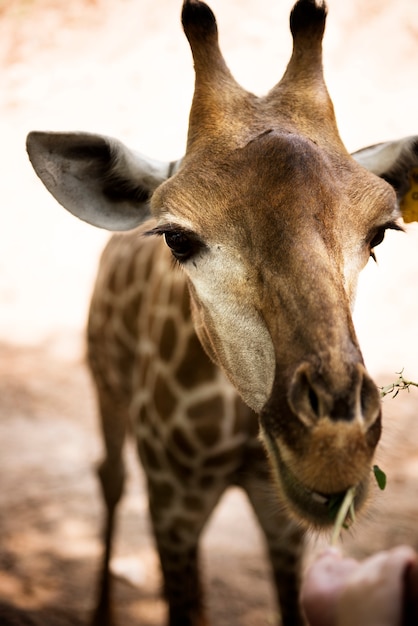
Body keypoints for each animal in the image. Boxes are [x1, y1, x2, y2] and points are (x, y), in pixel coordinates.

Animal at [26, 1, 418, 624]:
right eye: (177, 238)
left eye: (379, 232)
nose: (333, 450)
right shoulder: (172, 499)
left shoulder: (276, 506)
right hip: (102, 380)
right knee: (109, 476)